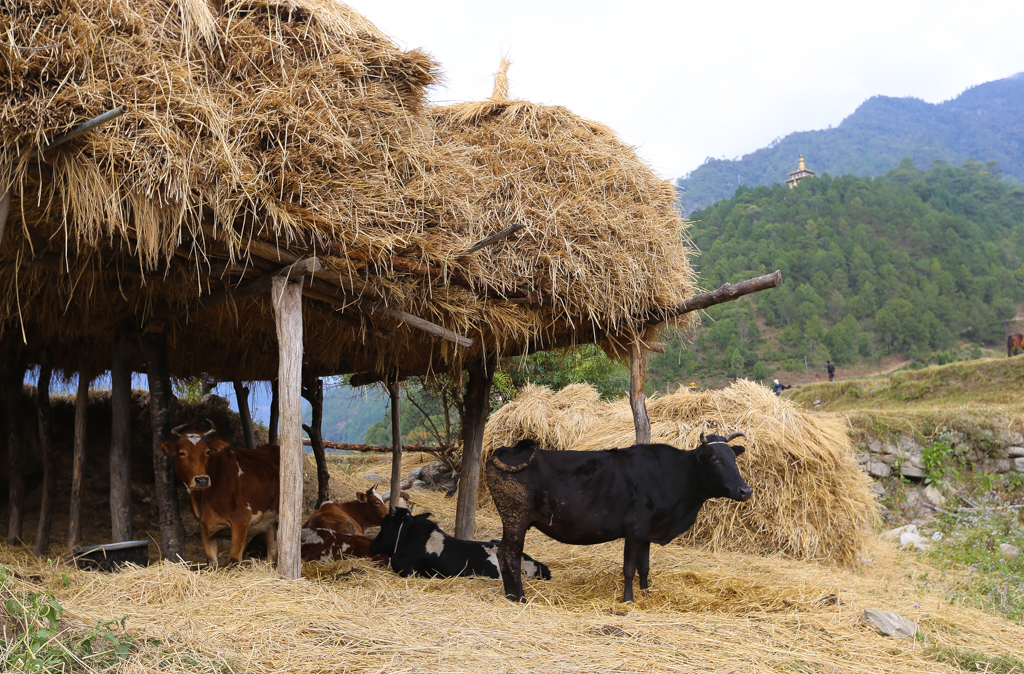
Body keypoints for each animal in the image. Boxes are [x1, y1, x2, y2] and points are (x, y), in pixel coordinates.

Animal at [159, 419, 280, 565]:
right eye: (182, 452)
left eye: (207, 452)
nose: (202, 480)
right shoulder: (204, 526)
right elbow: (211, 561)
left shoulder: (241, 519)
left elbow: (234, 560)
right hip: (267, 519)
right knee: (272, 549)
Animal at [487, 432, 753, 602]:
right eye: (715, 459)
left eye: (733, 458)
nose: (745, 490)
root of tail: (509, 448)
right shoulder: (634, 529)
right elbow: (629, 568)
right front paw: (628, 600)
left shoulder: (647, 532)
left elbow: (644, 567)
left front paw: (646, 595)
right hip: (516, 518)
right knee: (512, 555)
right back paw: (521, 597)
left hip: (510, 521)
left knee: (502, 552)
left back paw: (510, 595)